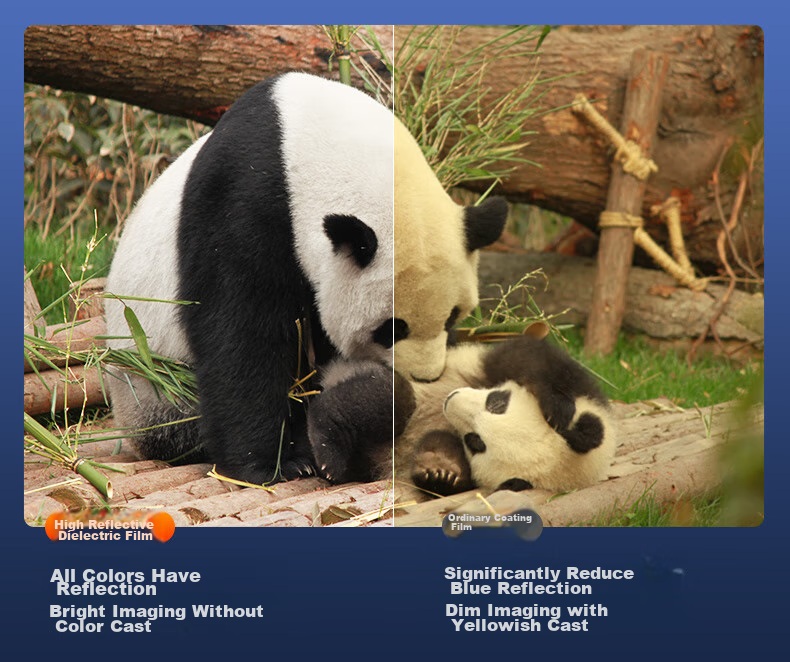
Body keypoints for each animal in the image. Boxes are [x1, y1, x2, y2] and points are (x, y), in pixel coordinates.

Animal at [397, 335, 617, 497]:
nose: (451, 400)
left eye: (475, 442)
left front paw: (441, 470)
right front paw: (557, 408)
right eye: (497, 404)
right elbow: (530, 356)